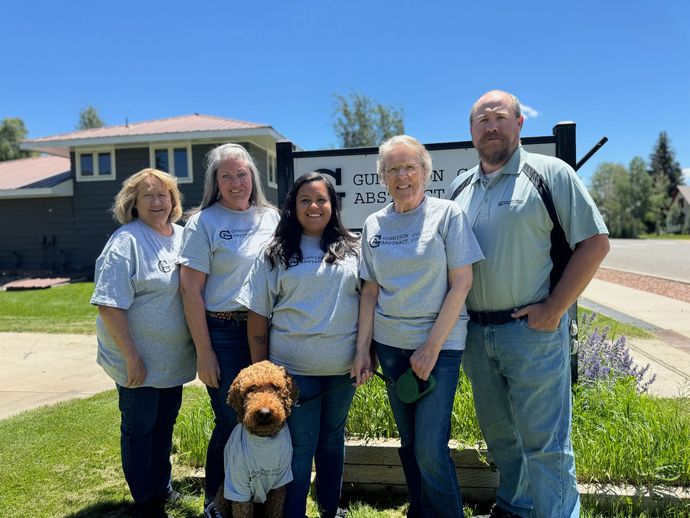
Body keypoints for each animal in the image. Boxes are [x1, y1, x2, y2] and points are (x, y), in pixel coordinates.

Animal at [207, 362, 298, 518]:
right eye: (251, 389)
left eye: (275, 386)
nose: (264, 413)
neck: (264, 439)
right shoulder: (239, 485)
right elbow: (242, 511)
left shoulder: (279, 484)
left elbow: (275, 510)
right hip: (224, 492)